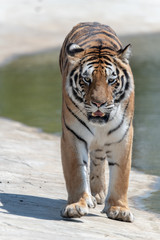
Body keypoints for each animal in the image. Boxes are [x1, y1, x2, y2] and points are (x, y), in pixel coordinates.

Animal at [58, 21, 134, 222]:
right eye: (86, 79)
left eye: (111, 80)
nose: (98, 103)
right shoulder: (73, 134)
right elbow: (77, 171)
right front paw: (77, 205)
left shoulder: (122, 136)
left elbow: (121, 175)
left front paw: (119, 209)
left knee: (98, 157)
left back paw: (98, 194)